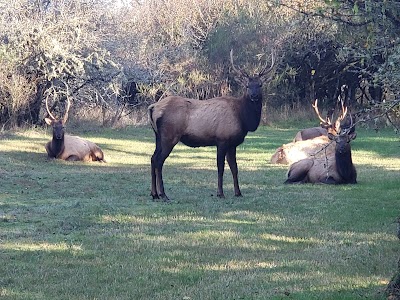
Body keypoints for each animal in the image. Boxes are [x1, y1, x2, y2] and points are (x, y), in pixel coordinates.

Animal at [148, 49, 276, 202]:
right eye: (247, 86)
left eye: (260, 84)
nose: (254, 96)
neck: (243, 118)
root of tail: (153, 108)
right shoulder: (222, 140)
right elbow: (220, 167)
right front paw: (220, 193)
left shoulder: (232, 144)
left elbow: (234, 167)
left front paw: (238, 192)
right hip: (170, 136)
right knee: (159, 161)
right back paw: (163, 194)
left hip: (158, 136)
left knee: (153, 158)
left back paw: (154, 194)